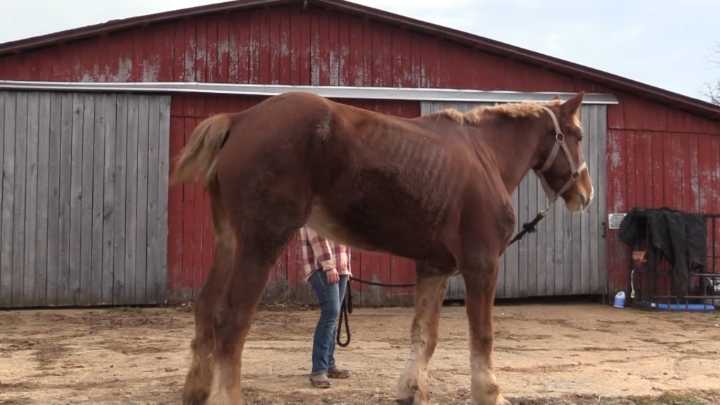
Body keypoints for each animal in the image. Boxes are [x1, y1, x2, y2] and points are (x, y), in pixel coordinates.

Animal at [173, 91, 593, 405]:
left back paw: (196, 390)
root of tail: (240, 119)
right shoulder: (482, 264)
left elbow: (424, 334)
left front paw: (410, 389)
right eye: (576, 135)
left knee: (206, 309)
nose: (585, 194)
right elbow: (483, 335)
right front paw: (490, 393)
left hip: (230, 241)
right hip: (261, 243)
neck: (483, 154)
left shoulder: (434, 267)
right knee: (232, 320)